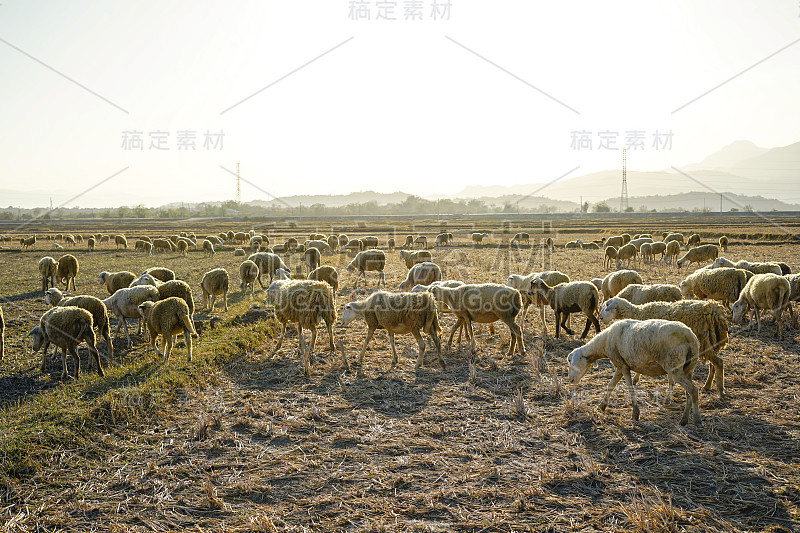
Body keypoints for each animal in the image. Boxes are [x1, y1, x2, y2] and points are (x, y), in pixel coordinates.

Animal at [568, 318, 700, 426]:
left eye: (571, 361)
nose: (570, 380)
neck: (605, 341)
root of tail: (690, 337)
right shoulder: (620, 366)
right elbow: (611, 385)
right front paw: (601, 406)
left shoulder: (622, 366)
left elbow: (630, 387)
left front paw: (635, 413)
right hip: (689, 368)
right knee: (689, 392)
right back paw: (684, 420)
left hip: (674, 367)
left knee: (693, 389)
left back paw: (697, 420)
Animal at [596, 298, 728, 396]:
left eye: (607, 306)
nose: (600, 317)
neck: (638, 312)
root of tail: (715, 308)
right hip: (711, 343)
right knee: (713, 364)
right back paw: (708, 386)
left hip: (704, 341)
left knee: (719, 362)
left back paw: (720, 390)